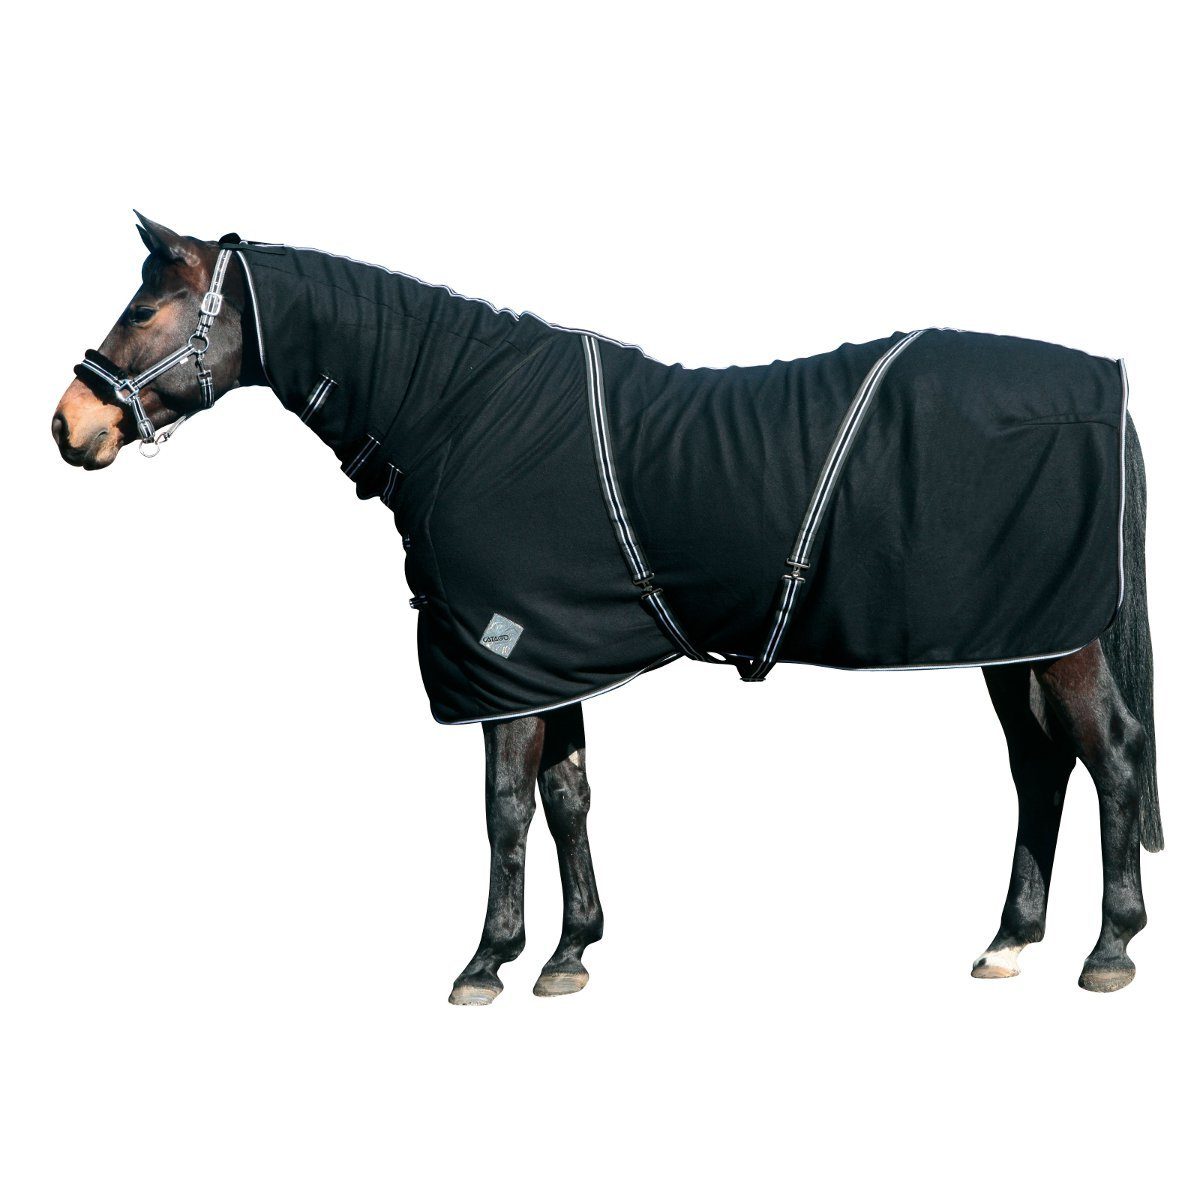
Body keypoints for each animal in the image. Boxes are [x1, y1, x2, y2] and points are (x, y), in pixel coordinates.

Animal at [52, 216, 1162, 1001]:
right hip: (1015, 635)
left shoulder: (501, 660)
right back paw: (1011, 942)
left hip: (1055, 640)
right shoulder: (548, 657)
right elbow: (568, 797)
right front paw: (569, 953)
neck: (460, 411)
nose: (70, 424)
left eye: (143, 313)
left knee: (1108, 755)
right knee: (1040, 767)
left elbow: (504, 808)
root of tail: (1104, 388)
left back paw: (1109, 948)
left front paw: (486, 961)